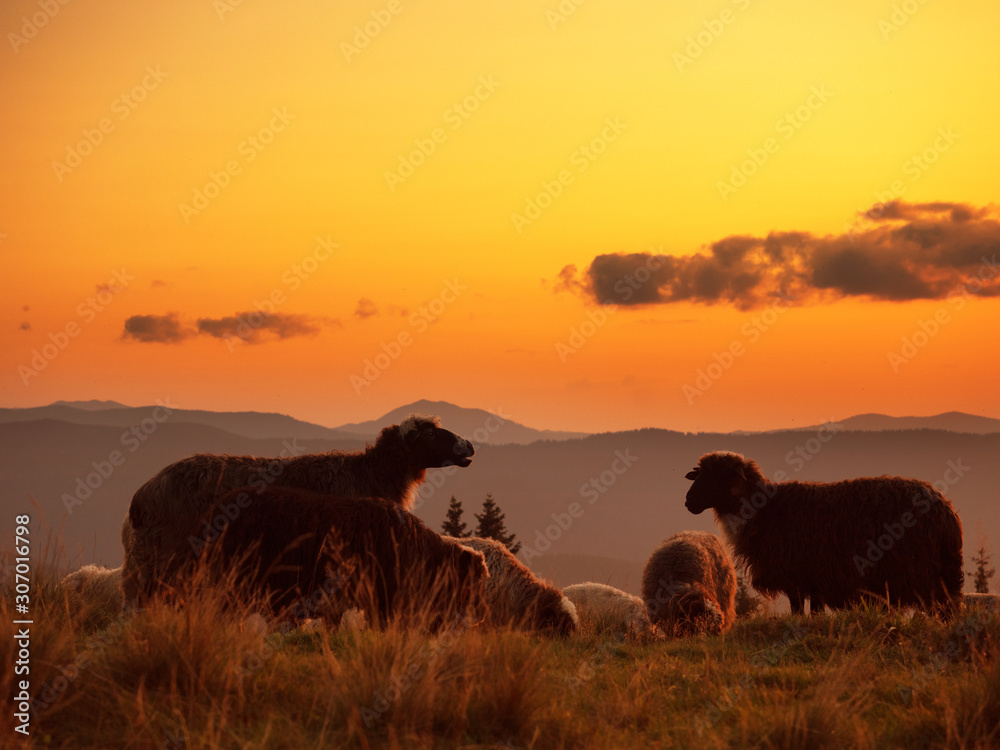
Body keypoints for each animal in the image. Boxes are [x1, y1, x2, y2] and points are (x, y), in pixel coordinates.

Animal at [684, 452, 964, 616]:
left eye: (720, 475)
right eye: (699, 474)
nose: (689, 501)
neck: (763, 510)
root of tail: (946, 509)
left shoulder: (797, 575)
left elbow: (798, 611)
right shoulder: (815, 578)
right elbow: (814, 612)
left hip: (924, 573)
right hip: (943, 571)